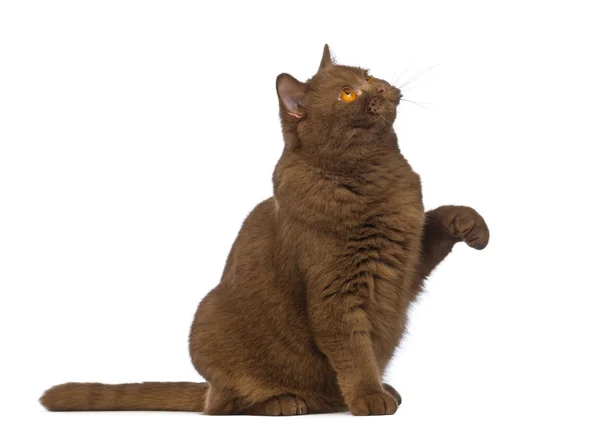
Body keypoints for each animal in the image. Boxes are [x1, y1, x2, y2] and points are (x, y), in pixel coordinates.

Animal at [41, 45, 488, 416]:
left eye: (368, 74)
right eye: (347, 94)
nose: (381, 86)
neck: (375, 175)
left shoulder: (405, 263)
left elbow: (439, 219)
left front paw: (471, 224)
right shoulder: (336, 291)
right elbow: (352, 349)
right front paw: (368, 397)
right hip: (209, 321)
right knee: (227, 405)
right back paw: (286, 402)